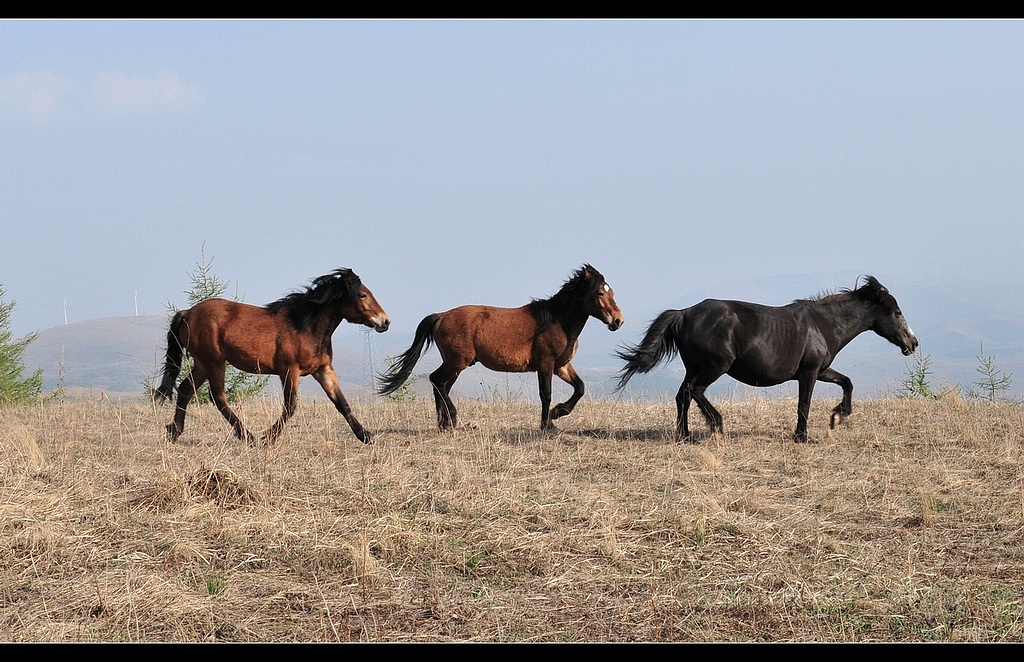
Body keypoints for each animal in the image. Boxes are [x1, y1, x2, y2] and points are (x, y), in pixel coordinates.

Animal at [153, 268, 389, 446]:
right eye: (362, 295)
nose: (385, 321)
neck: (304, 326)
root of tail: (187, 313)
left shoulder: (323, 370)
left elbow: (341, 403)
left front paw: (366, 435)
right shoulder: (289, 371)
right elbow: (290, 406)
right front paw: (268, 437)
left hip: (203, 363)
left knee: (185, 390)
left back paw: (174, 432)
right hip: (214, 362)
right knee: (217, 397)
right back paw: (248, 437)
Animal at [376, 266, 622, 432]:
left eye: (612, 292)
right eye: (600, 293)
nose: (618, 321)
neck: (557, 320)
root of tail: (441, 316)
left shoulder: (561, 366)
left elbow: (580, 388)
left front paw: (558, 413)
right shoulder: (546, 364)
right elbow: (546, 394)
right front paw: (547, 424)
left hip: (455, 364)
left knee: (440, 384)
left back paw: (444, 424)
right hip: (457, 362)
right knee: (437, 381)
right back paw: (452, 419)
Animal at [614, 276, 921, 442]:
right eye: (896, 313)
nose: (913, 343)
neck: (823, 325)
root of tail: (684, 313)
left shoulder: (822, 370)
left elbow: (847, 382)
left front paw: (836, 417)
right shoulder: (809, 373)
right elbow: (804, 405)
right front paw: (803, 436)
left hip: (695, 366)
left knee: (683, 396)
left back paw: (686, 435)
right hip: (715, 366)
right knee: (694, 391)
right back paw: (716, 425)